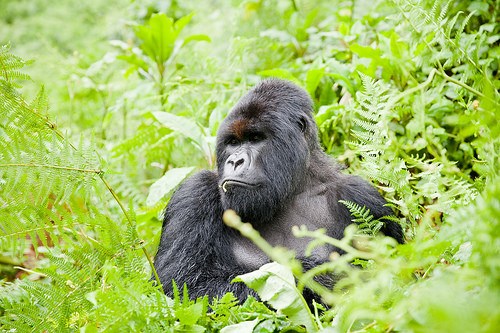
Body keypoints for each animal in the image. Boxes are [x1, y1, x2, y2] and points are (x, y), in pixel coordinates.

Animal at [154, 79, 404, 302]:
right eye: (233, 143)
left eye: (256, 138)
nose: (235, 161)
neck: (291, 190)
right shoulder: (194, 193)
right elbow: (182, 286)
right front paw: (317, 276)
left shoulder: (362, 198)